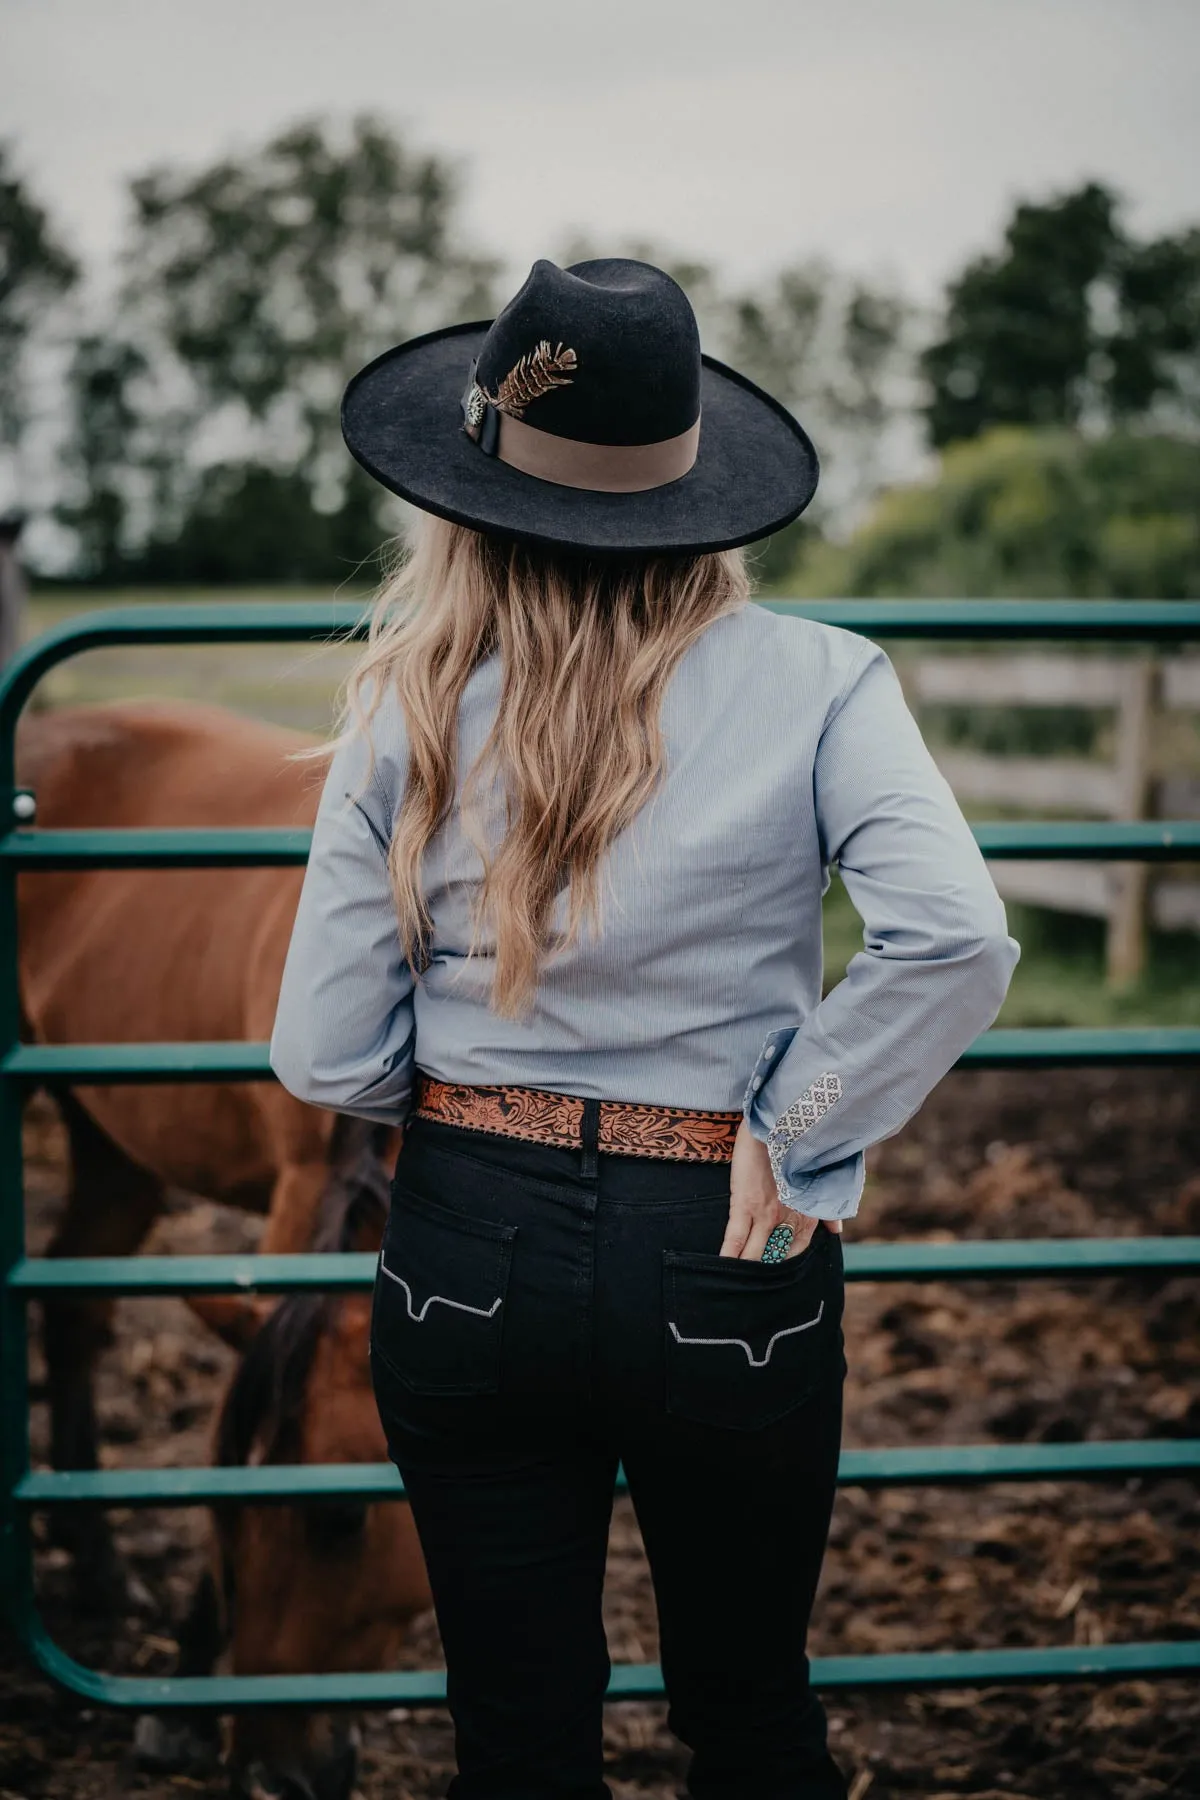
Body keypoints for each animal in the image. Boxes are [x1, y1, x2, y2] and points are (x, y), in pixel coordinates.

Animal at [15, 702, 437, 1800]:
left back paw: (97, 1561)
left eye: (341, 1521)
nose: (274, 1773)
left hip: (114, 1148)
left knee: (73, 1306)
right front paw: (183, 1705)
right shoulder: (295, 1194)